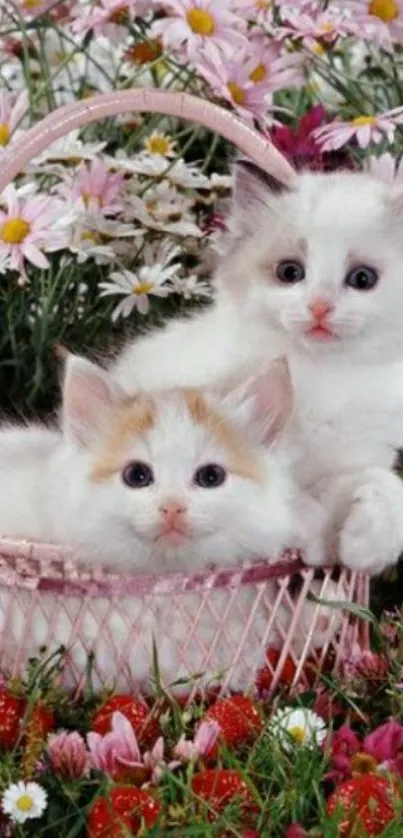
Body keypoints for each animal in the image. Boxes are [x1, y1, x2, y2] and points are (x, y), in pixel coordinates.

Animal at [112, 167, 403, 580]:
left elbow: (384, 485)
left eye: (363, 279)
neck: (321, 375)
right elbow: (287, 500)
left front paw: (364, 546)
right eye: (289, 273)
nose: (319, 307)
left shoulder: (351, 461)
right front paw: (313, 539)